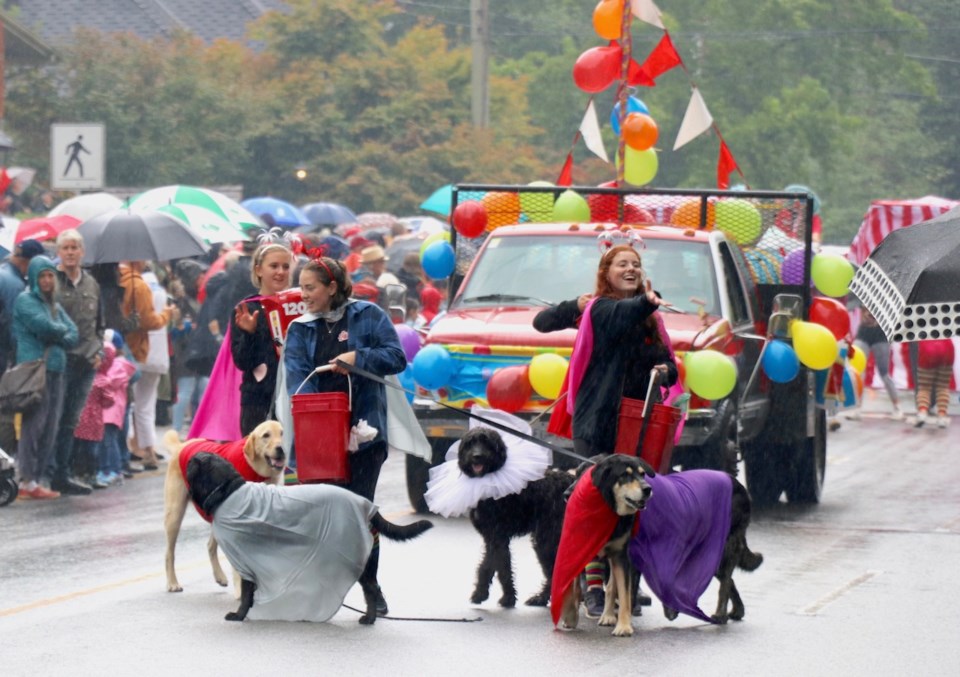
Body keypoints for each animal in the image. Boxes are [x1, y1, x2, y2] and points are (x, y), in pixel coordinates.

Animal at [161, 422, 286, 592]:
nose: (281, 449)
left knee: (210, 546)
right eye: (266, 435)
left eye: (282, 433)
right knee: (169, 553)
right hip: (174, 515)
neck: (255, 469)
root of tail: (182, 446)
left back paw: (219, 576)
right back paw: (173, 583)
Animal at [185, 452, 432, 624]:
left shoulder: (244, 562)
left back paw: (369, 618)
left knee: (370, 588)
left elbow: (246, 595)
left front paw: (239, 615)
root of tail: (365, 504)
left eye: (191, 464)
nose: (184, 461)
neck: (227, 493)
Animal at [460, 426, 572, 604]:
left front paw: (494, 596)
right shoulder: (493, 537)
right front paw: (501, 595)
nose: (477, 456)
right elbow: (498, 564)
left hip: (547, 539)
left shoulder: (497, 535)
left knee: (554, 567)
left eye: (487, 443)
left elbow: (493, 564)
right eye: (470, 443)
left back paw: (543, 598)